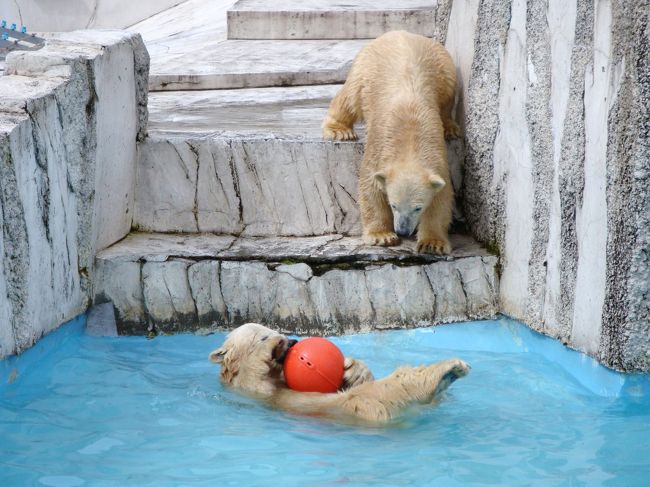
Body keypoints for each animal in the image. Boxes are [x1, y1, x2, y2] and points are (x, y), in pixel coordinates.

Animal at [210, 326, 468, 426]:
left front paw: (354, 369)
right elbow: (254, 377)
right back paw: (448, 371)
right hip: (361, 406)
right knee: (390, 388)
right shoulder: (250, 390)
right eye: (264, 335)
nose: (292, 341)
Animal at [322, 30, 458, 255]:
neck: (410, 141)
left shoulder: (438, 160)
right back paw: (339, 130)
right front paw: (381, 236)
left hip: (444, 67)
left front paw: (432, 243)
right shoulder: (378, 150)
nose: (403, 231)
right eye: (393, 204)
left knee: (448, 96)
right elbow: (370, 186)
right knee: (349, 98)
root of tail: (400, 32)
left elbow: (441, 199)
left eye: (418, 207)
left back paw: (451, 128)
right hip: (365, 69)